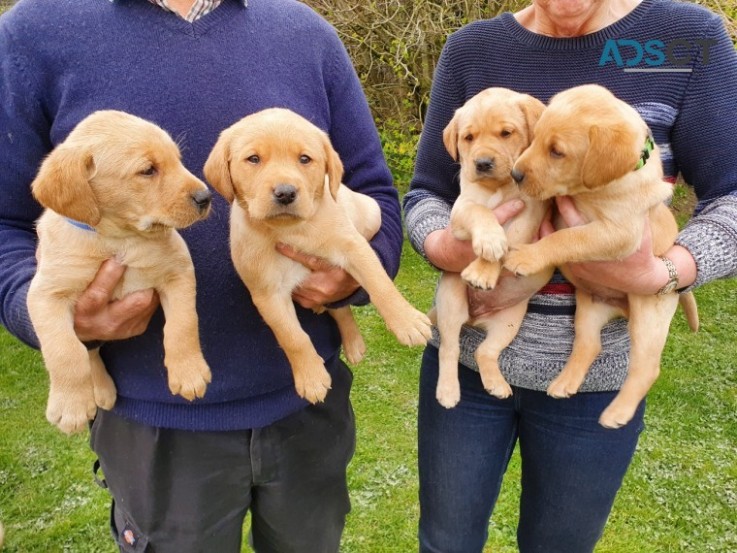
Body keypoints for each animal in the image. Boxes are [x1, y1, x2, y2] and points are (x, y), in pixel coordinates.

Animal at [27, 110, 211, 434]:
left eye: (177, 160)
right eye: (148, 170)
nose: (206, 197)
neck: (119, 240)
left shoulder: (179, 272)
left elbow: (183, 325)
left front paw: (189, 372)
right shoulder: (45, 294)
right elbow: (65, 351)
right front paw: (70, 406)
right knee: (88, 351)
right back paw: (99, 390)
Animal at [203, 106, 432, 402]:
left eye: (304, 159)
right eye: (253, 159)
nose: (285, 193)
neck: (289, 230)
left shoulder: (354, 248)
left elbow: (380, 285)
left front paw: (408, 322)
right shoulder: (267, 293)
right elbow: (293, 337)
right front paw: (311, 377)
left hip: (370, 211)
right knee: (338, 309)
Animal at [434, 87, 548, 406]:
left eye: (506, 133)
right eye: (468, 138)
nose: (482, 163)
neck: (498, 188)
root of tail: (474, 319)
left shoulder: (530, 211)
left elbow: (512, 238)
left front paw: (485, 270)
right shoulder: (461, 210)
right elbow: (481, 212)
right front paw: (488, 245)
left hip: (510, 320)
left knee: (484, 351)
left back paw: (497, 384)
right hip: (450, 302)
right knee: (449, 349)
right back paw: (448, 391)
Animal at [504, 84, 700, 426]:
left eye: (557, 151)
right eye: (535, 137)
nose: (515, 174)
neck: (595, 191)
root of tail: (620, 308)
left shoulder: (618, 233)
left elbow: (566, 237)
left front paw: (527, 257)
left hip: (649, 316)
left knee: (646, 368)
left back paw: (617, 413)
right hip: (588, 307)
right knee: (589, 344)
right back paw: (564, 383)